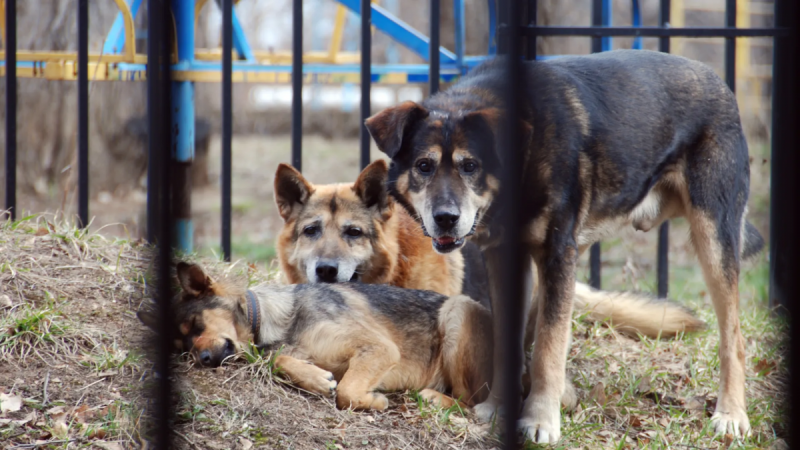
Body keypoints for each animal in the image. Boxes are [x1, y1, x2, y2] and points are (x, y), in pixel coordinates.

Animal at [138, 262, 496, 410]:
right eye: (181, 348)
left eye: (196, 325)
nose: (202, 360)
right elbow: (281, 361)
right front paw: (316, 380)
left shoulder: (379, 348)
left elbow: (348, 392)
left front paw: (373, 401)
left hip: (458, 312)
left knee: (473, 402)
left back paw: (436, 399)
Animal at [366, 50, 764, 442]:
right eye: (424, 166)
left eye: (470, 166)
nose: (446, 218)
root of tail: (717, 81)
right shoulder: (509, 259)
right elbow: (508, 342)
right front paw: (498, 409)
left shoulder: (557, 253)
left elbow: (549, 347)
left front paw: (541, 421)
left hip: (712, 237)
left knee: (734, 338)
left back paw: (731, 414)